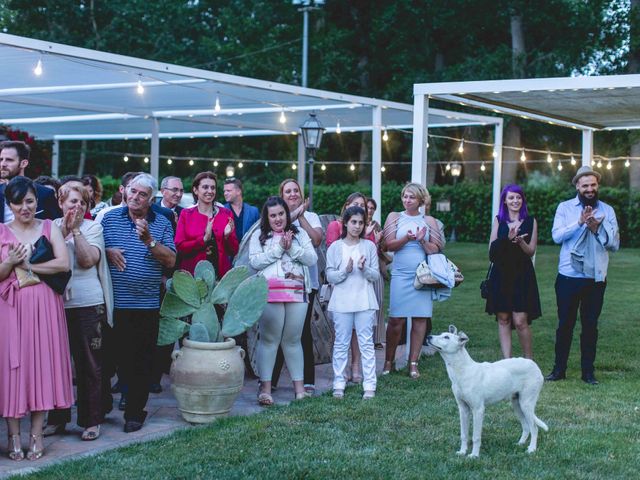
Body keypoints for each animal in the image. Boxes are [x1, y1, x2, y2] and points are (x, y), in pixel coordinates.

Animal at [428, 326, 548, 458]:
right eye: (442, 334)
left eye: (446, 337)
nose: (428, 337)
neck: (463, 371)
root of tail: (535, 365)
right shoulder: (463, 409)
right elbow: (464, 434)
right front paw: (462, 452)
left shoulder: (478, 410)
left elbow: (476, 436)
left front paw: (474, 456)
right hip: (517, 404)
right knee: (526, 426)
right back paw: (520, 444)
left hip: (526, 404)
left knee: (534, 428)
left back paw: (531, 449)